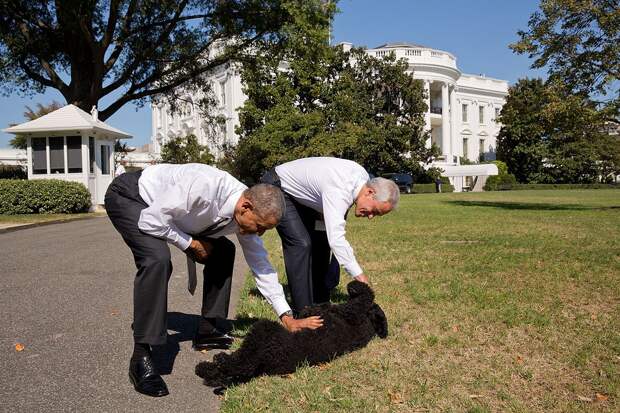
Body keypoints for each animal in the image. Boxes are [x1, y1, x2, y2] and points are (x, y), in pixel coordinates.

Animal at [194, 278, 388, 388]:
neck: (369, 324)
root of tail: (266, 366)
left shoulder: (354, 311)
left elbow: (366, 295)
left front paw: (354, 287)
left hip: (264, 331)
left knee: (241, 363)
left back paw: (214, 364)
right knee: (235, 368)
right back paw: (210, 369)